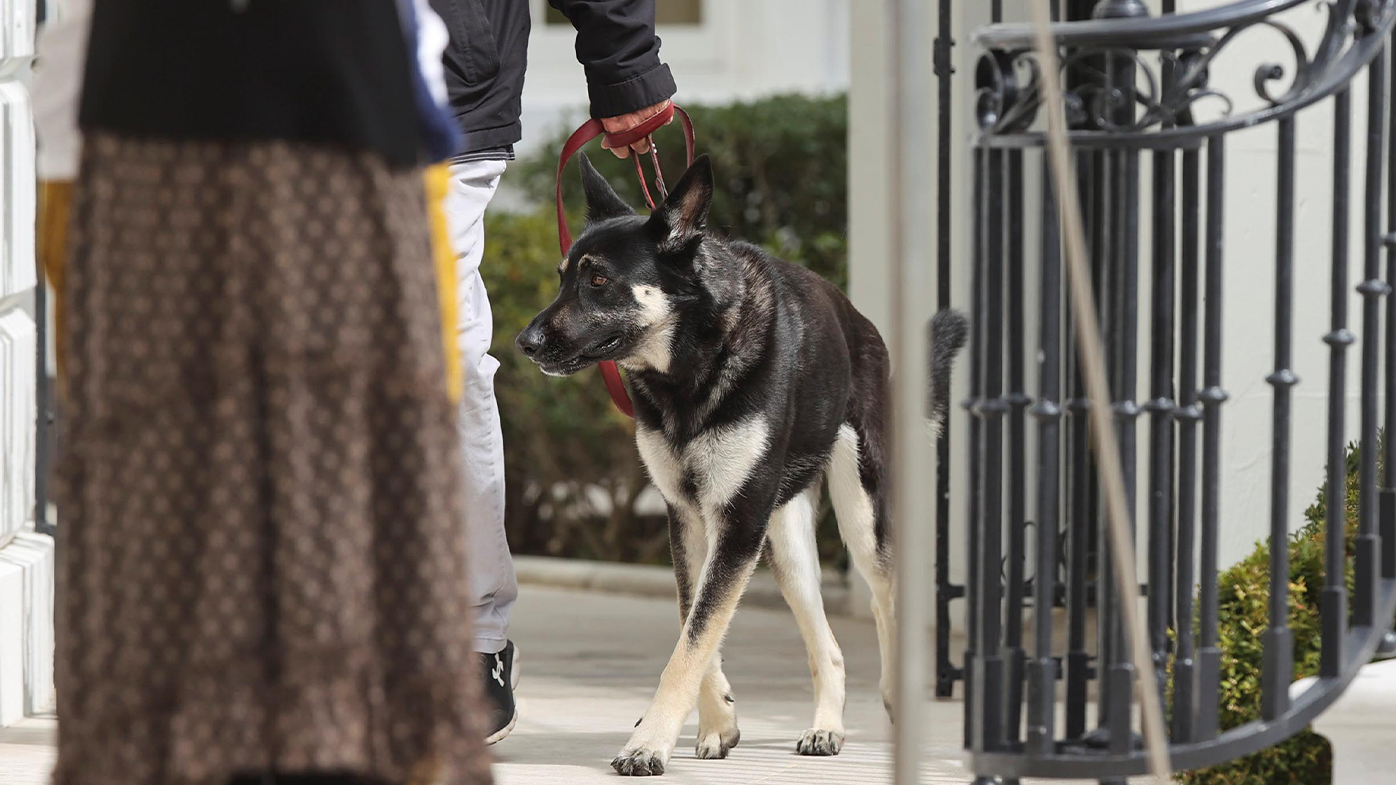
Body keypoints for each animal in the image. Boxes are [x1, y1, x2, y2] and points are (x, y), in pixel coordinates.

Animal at [519, 151, 966, 771]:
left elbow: (692, 641)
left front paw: (648, 742)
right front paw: (717, 722)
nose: (524, 342)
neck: (691, 365)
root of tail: (861, 323)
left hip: (861, 519)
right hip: (785, 544)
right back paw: (826, 727)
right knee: (828, 645)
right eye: (563, 277)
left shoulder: (737, 523)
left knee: (885, 605)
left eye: (599, 280)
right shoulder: (691, 519)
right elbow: (695, 623)